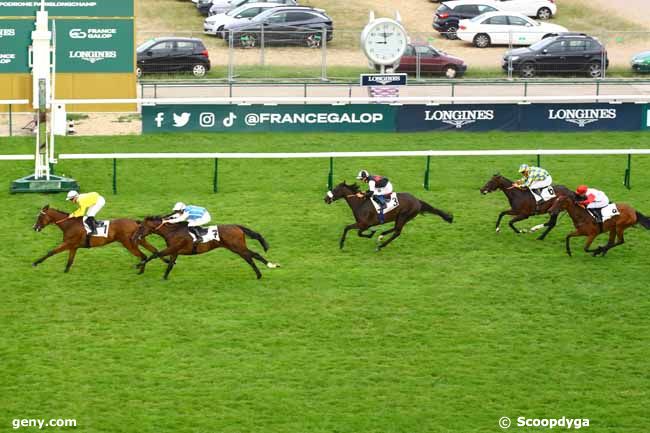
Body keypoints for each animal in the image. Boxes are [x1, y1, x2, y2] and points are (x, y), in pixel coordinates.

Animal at [32, 204, 166, 272]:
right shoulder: (73, 246)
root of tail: (135, 222)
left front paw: (35, 262)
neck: (69, 224)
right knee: (154, 250)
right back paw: (167, 261)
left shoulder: (68, 243)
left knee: (143, 256)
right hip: (140, 239)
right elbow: (70, 261)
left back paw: (141, 270)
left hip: (129, 244)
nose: (35, 227)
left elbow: (51, 252)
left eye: (39, 217)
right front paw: (65, 271)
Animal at [133, 216, 278, 280]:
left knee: (253, 255)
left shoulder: (172, 248)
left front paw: (139, 266)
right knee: (251, 257)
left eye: (141, 227)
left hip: (237, 247)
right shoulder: (174, 251)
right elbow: (169, 265)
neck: (173, 231)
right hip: (237, 248)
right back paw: (262, 272)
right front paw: (164, 277)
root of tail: (237, 227)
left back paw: (269, 267)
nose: (134, 237)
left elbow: (155, 254)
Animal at [322, 181, 450, 250]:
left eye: (335, 189)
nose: (326, 199)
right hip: (400, 217)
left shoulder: (364, 224)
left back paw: (380, 246)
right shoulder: (363, 224)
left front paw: (341, 244)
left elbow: (352, 230)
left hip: (404, 216)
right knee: (395, 229)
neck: (360, 203)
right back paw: (381, 235)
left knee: (397, 232)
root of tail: (417, 200)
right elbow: (350, 229)